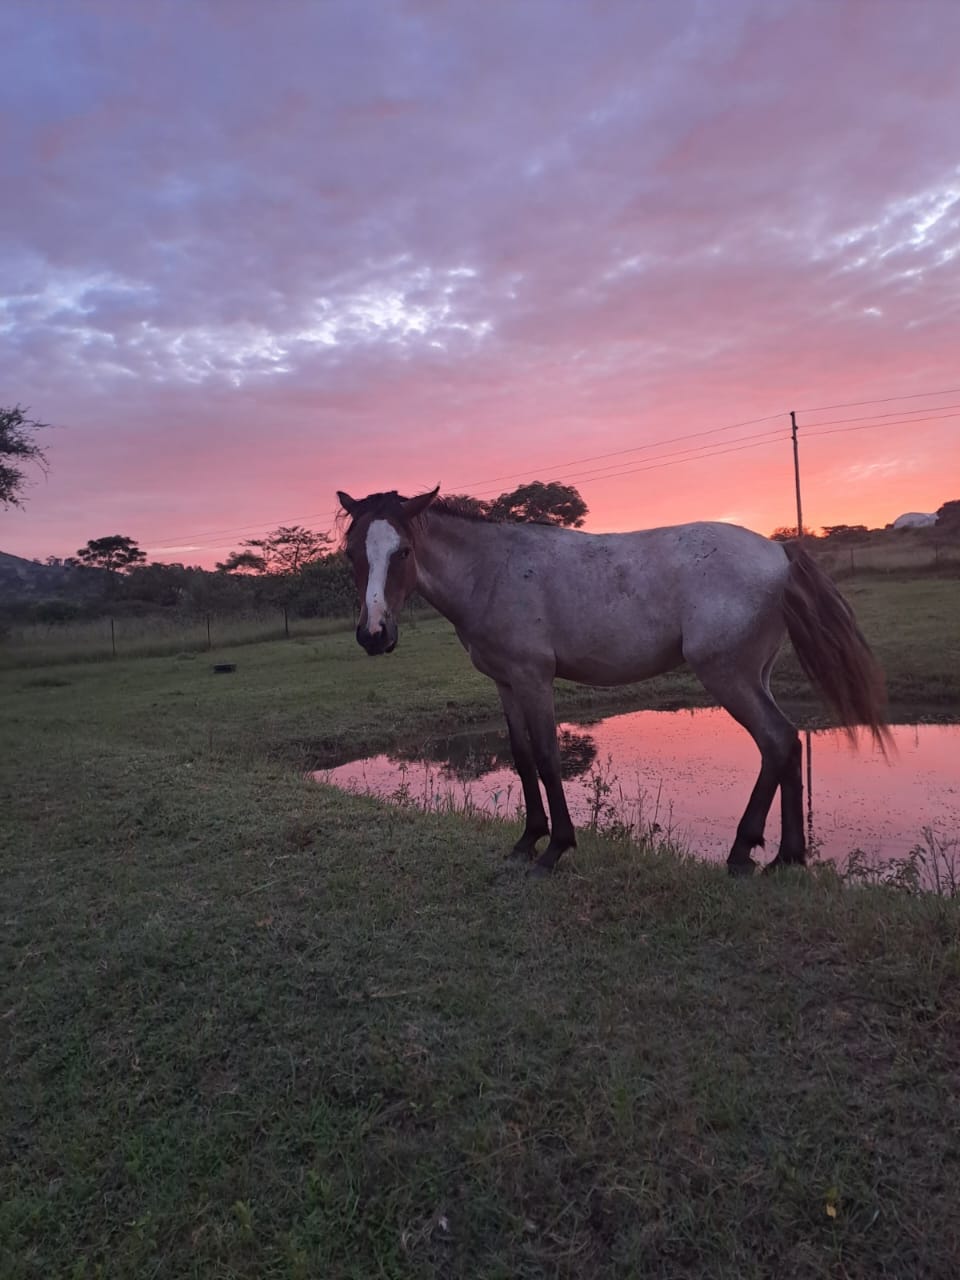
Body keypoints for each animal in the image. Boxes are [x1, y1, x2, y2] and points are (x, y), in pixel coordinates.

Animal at [336, 486, 891, 877]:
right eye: (352, 554)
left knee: (776, 741)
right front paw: (526, 842)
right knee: (789, 744)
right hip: (756, 676)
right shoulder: (506, 684)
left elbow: (547, 757)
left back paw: (741, 854)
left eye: (404, 551)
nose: (373, 634)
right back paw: (785, 858)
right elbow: (520, 758)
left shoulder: (534, 680)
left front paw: (554, 850)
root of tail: (777, 552)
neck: (491, 570)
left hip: (729, 676)